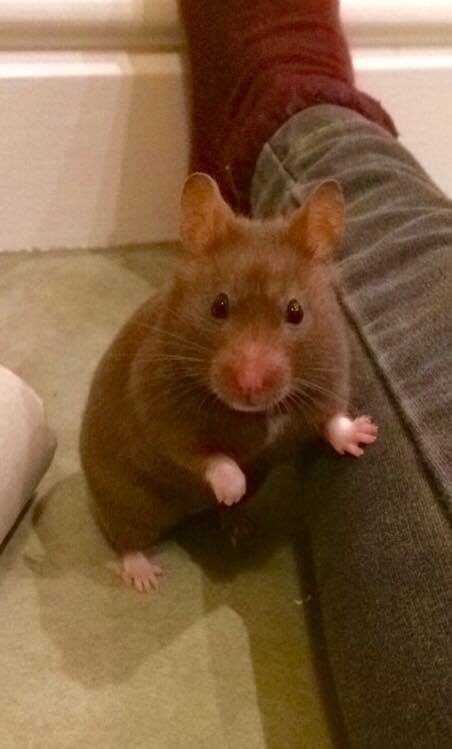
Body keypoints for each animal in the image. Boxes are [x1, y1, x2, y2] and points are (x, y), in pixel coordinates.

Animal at [80, 173, 378, 592]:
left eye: (296, 311)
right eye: (218, 306)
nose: (248, 384)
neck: (258, 412)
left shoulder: (328, 383)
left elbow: (331, 419)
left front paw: (366, 436)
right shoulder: (163, 416)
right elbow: (208, 456)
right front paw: (233, 490)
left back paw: (240, 523)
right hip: (126, 502)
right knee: (127, 539)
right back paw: (147, 578)